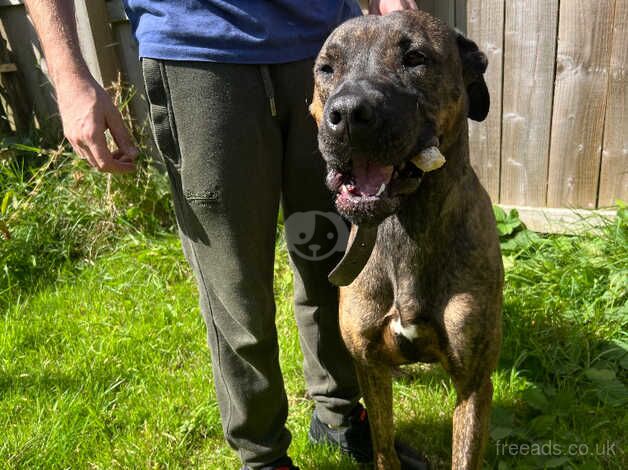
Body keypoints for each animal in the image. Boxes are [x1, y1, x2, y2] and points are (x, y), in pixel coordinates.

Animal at [310, 9, 506, 468]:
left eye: (415, 57)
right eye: (326, 68)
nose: (348, 113)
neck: (407, 228)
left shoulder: (474, 382)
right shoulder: (368, 366)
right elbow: (383, 444)